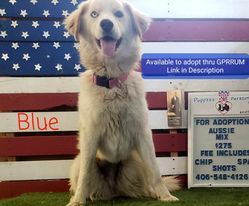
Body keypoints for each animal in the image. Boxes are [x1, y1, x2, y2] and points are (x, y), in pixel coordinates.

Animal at [64, 0, 179, 205]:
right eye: (94, 14)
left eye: (118, 14)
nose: (106, 24)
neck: (112, 83)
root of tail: (113, 190)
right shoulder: (90, 136)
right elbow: (85, 174)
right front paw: (77, 201)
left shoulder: (142, 132)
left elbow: (155, 170)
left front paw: (166, 196)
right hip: (77, 162)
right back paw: (89, 195)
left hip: (135, 163)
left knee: (145, 182)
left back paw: (151, 192)